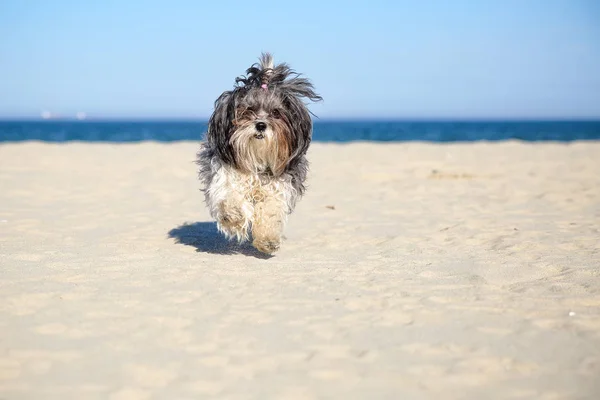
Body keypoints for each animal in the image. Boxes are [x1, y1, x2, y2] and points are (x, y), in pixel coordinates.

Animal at [197, 53, 322, 255]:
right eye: (248, 110)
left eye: (276, 113)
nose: (261, 125)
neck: (257, 156)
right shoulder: (224, 175)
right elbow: (230, 195)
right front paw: (233, 214)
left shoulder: (279, 187)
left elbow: (270, 211)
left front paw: (268, 239)